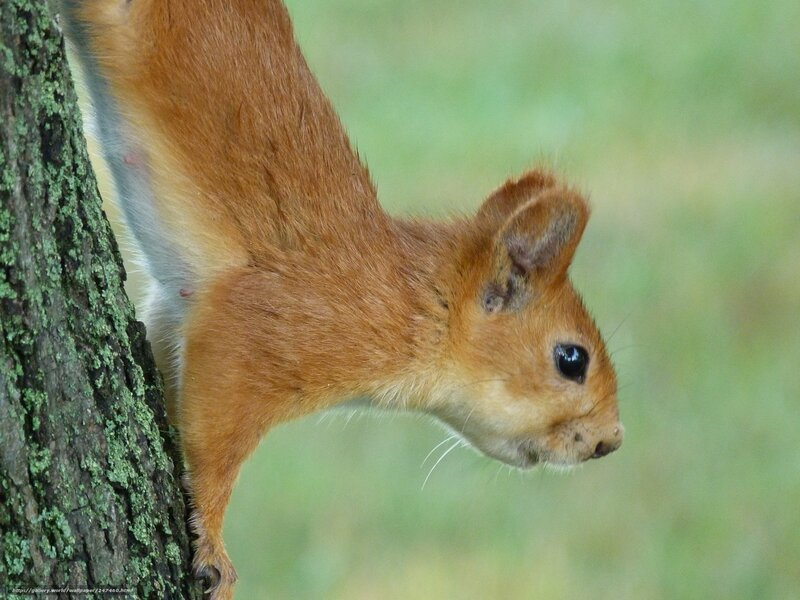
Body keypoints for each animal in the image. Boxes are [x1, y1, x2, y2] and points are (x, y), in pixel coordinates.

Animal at [61, 1, 624, 598]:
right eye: (572, 360)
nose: (611, 441)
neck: (416, 304)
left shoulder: (178, 312)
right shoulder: (262, 328)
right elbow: (213, 446)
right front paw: (214, 546)